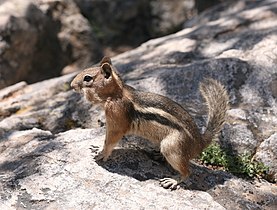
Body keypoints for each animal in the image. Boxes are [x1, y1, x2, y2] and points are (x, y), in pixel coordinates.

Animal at [71, 56, 229, 189]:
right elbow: (105, 139)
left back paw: (173, 181)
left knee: (187, 171)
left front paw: (102, 153)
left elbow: (110, 140)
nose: (72, 85)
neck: (116, 94)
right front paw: (98, 148)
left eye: (87, 78)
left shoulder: (116, 121)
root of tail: (200, 143)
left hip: (172, 147)